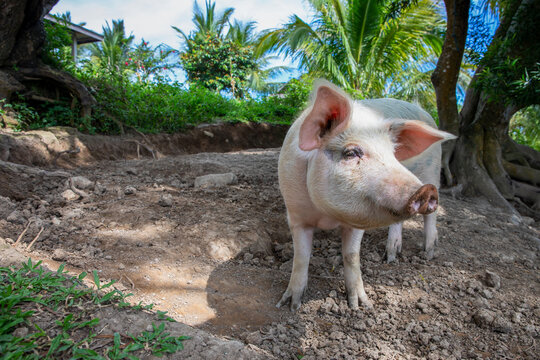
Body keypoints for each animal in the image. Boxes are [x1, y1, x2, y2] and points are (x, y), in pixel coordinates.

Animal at [274, 80, 456, 310]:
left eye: (393, 155)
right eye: (351, 153)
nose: (425, 190)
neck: (327, 216)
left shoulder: (358, 221)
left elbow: (352, 255)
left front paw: (361, 305)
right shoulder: (295, 214)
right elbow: (301, 256)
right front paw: (289, 304)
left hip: (434, 169)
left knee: (431, 217)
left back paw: (429, 252)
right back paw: (392, 255)